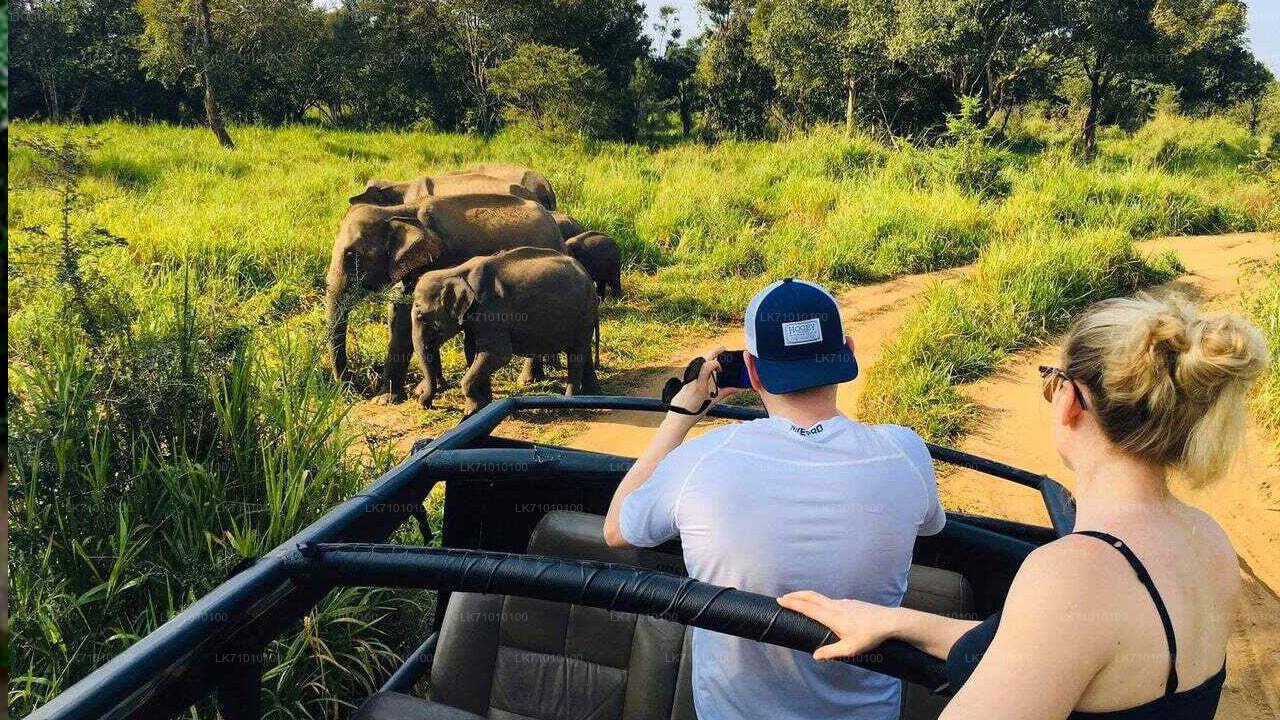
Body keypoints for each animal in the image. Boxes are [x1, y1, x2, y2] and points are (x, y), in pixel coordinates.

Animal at [326, 193, 564, 404]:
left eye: (351, 255)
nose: (351, 384)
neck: (398, 211)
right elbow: (399, 308)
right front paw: (424, 389)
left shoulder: (442, 259)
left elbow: (405, 320)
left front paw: (385, 400)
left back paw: (528, 380)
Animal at [410, 247, 599, 415]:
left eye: (421, 316)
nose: (424, 403)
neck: (454, 272)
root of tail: (588, 277)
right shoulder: (474, 319)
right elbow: (473, 351)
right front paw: (483, 406)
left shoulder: (490, 309)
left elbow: (498, 354)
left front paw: (470, 412)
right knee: (583, 352)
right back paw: (592, 394)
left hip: (584, 313)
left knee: (576, 355)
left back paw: (571, 402)